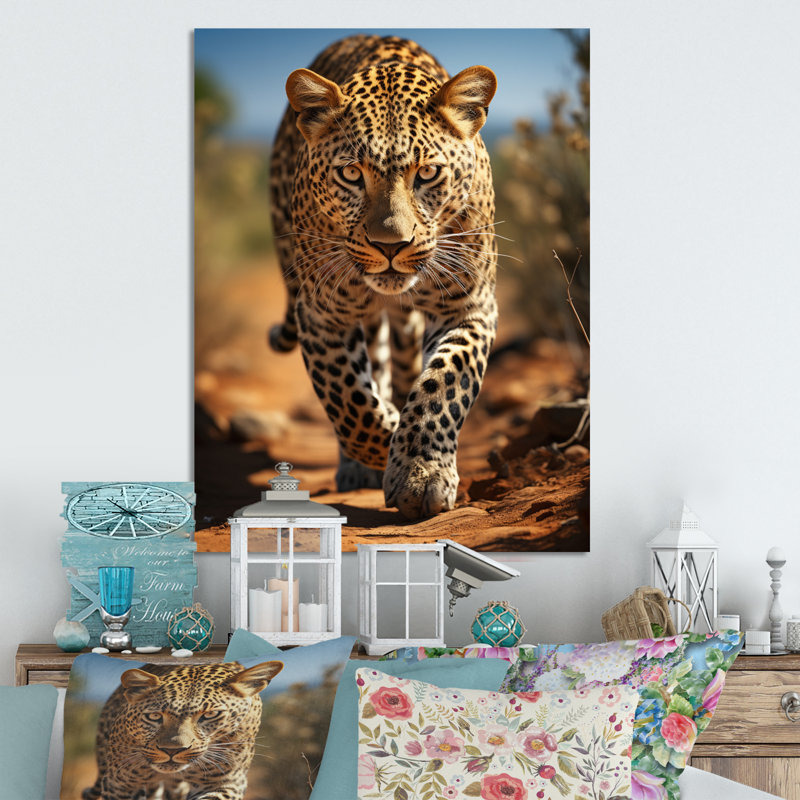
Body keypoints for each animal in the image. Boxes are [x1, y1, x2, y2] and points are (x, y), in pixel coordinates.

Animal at [269, 34, 498, 519]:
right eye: (351, 174)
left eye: (427, 173)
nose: (390, 246)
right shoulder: (320, 313)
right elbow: (350, 403)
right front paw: (389, 440)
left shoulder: (469, 306)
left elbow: (443, 382)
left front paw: (420, 470)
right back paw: (359, 464)